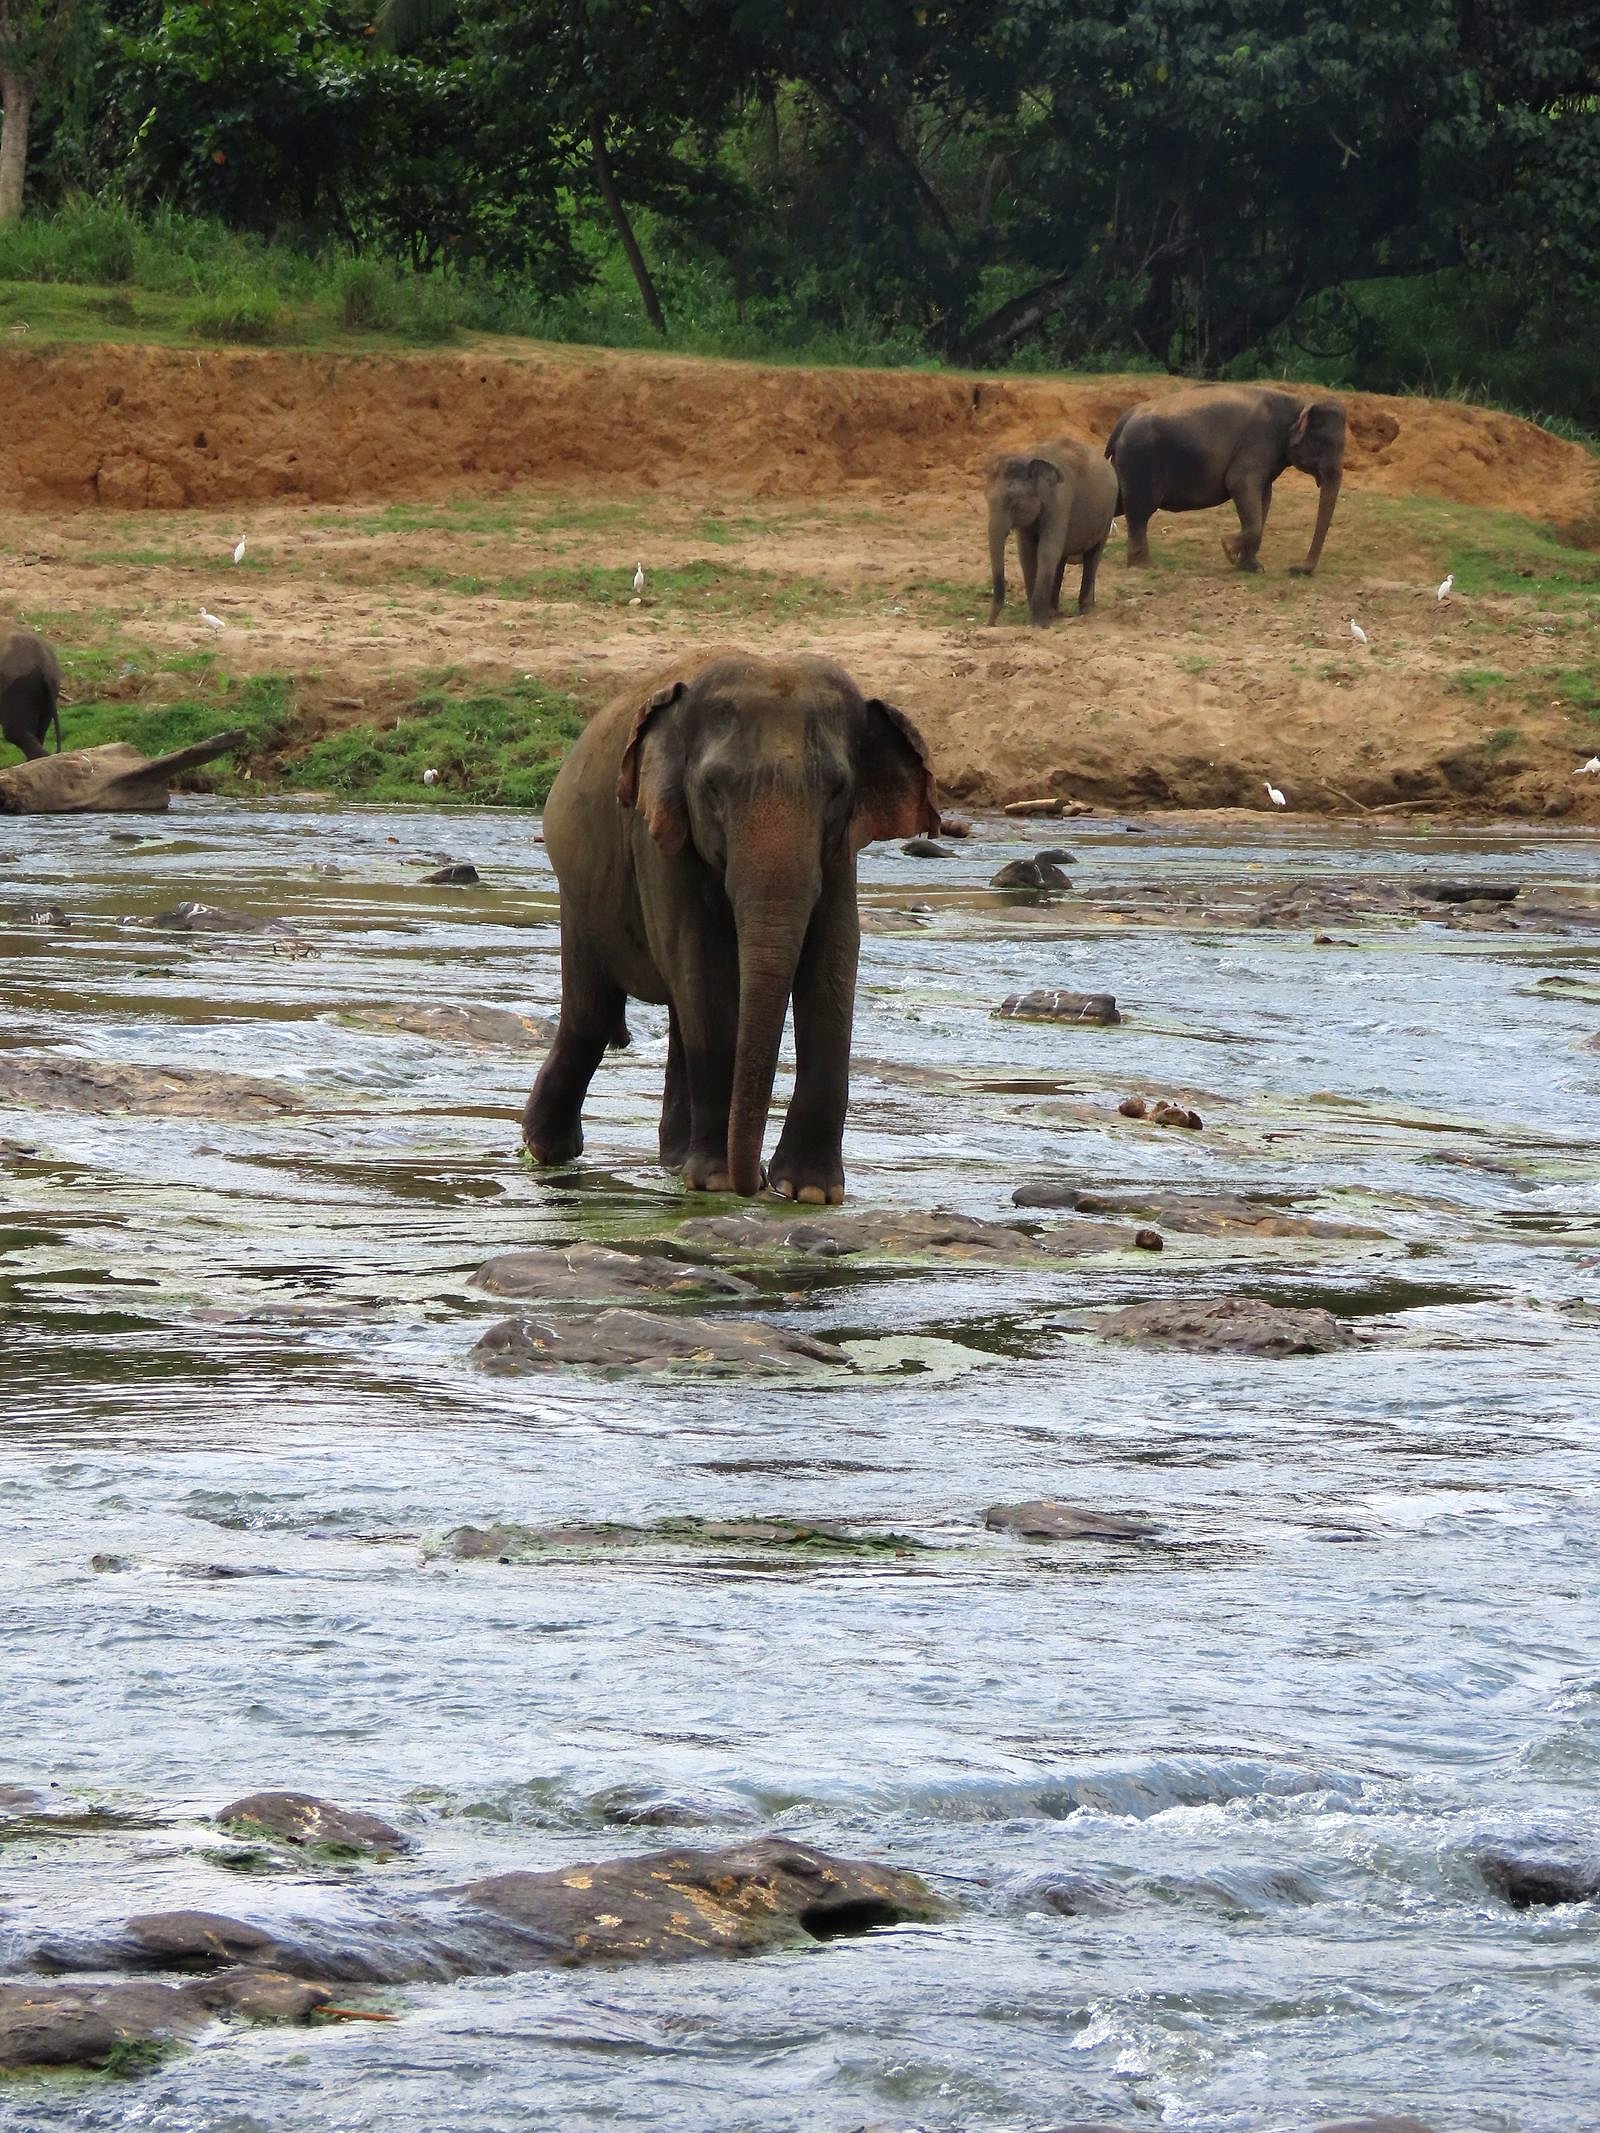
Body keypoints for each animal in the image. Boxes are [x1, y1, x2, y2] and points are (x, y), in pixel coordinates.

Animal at [523, 648, 939, 1203]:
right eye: (713, 788)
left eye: (837, 790)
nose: (755, 1181)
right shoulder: (658, 839)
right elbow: (703, 965)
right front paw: (719, 1181)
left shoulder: (840, 855)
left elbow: (833, 962)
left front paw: (810, 1192)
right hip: (579, 895)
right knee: (591, 1014)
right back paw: (548, 1151)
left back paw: (675, 1162)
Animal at [985, 435, 1118, 625]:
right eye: (986, 499)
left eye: (1013, 503)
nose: (990, 623)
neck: (1029, 458)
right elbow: (1026, 553)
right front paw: (1040, 617)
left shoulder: (1060, 500)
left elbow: (1047, 550)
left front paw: (1037, 624)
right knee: (1061, 560)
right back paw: (1054, 612)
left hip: (1107, 513)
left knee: (1093, 556)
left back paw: (1086, 611)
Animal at [1104, 385, 1347, 575]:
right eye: (1323, 445)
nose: (1295, 569)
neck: (1299, 402)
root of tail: (1124, 419)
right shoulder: (1259, 442)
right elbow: (1239, 483)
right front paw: (1228, 547)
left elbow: (1264, 497)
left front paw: (1252, 567)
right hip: (1140, 459)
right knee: (1139, 512)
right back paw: (1145, 566)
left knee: (1120, 504)